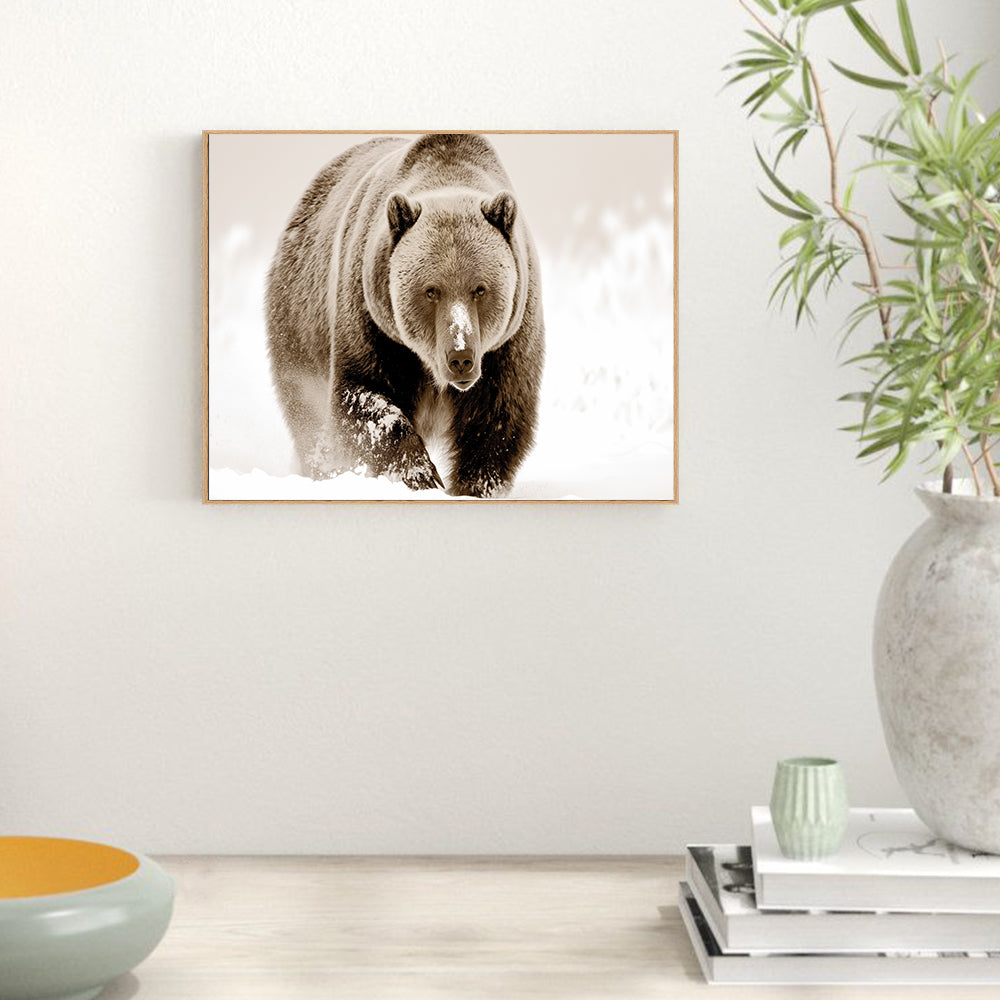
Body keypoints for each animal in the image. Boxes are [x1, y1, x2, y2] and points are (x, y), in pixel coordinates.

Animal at [265, 133, 545, 498]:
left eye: (480, 289)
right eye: (431, 290)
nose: (460, 357)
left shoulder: (508, 342)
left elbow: (496, 418)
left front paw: (472, 486)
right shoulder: (374, 323)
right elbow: (365, 397)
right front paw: (421, 475)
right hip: (299, 326)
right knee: (308, 416)